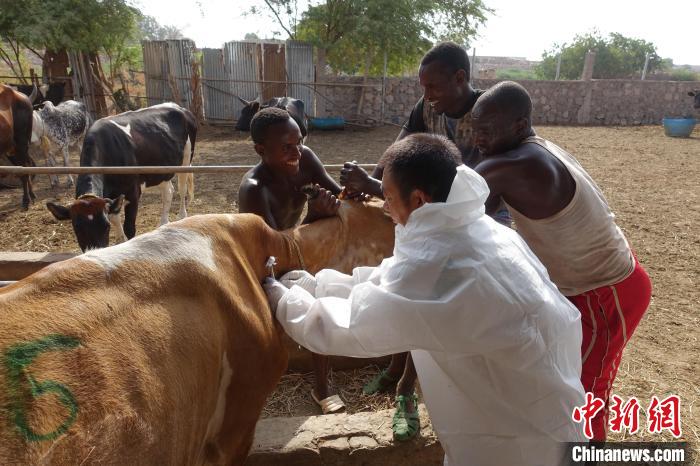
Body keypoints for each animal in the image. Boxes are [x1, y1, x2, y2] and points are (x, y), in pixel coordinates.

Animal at [45, 102, 197, 251]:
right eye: (77, 228)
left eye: (106, 227)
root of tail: (180, 107)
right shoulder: (110, 197)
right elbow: (115, 218)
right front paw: (119, 241)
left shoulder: (133, 193)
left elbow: (129, 228)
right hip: (161, 170)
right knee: (168, 192)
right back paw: (163, 223)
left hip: (186, 159)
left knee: (182, 189)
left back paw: (182, 216)